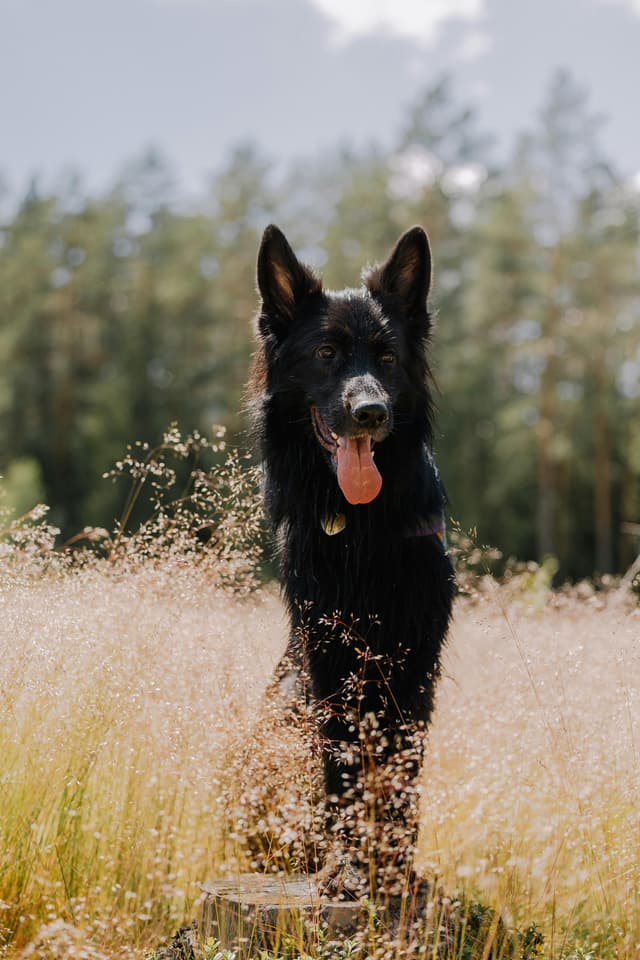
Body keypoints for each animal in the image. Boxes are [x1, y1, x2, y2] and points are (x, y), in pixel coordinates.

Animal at [250, 223, 456, 892]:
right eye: (326, 354)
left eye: (387, 358)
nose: (371, 413)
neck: (360, 524)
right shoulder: (325, 653)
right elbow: (341, 764)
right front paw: (344, 867)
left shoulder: (415, 655)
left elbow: (400, 768)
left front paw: (392, 867)